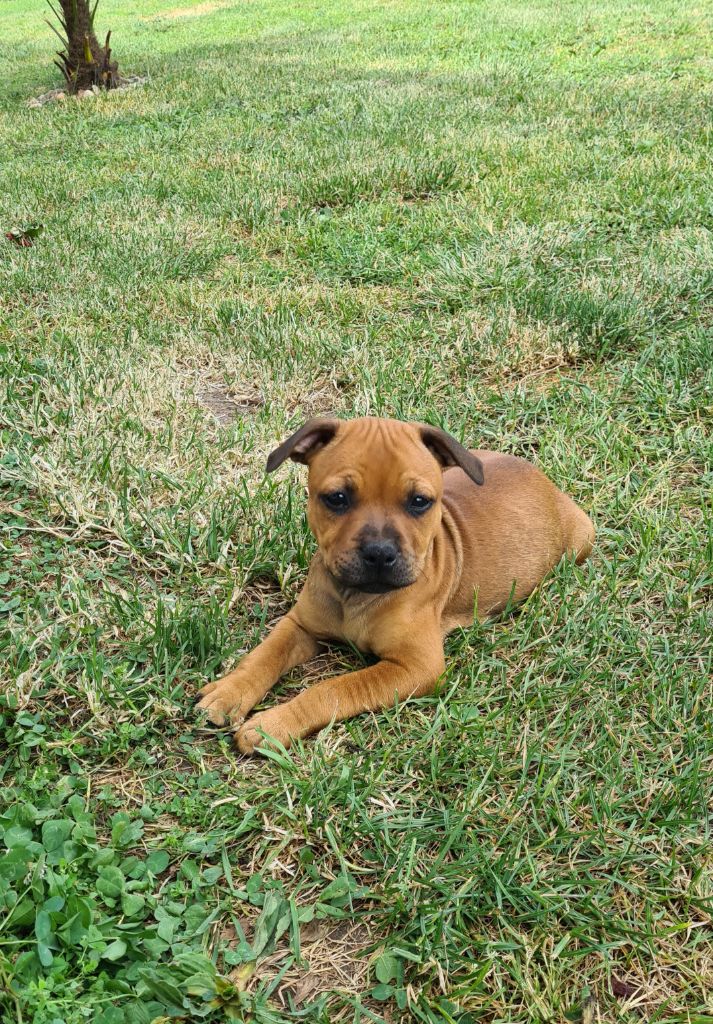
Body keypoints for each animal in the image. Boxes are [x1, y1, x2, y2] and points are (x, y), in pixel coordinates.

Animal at [196, 417, 595, 753]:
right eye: (337, 498)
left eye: (419, 502)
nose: (379, 552)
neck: (355, 596)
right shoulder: (300, 624)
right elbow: (265, 654)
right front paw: (229, 692)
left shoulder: (416, 667)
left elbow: (332, 688)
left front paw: (271, 725)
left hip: (581, 541)